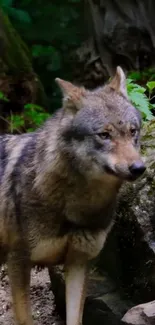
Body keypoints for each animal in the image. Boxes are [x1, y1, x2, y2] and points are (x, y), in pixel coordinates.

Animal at [0, 66, 145, 324]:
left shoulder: (78, 262)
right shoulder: (18, 263)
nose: (139, 168)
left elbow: (75, 317)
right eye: (104, 135)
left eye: (132, 131)